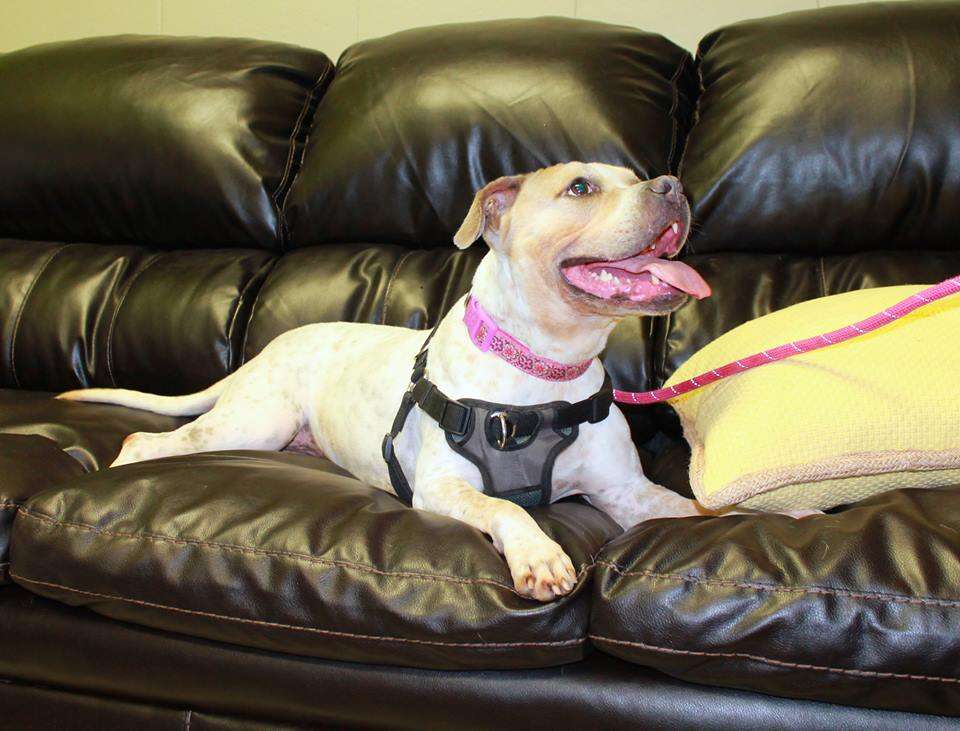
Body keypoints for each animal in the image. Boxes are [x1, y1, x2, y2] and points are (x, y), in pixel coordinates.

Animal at [58, 164, 720, 600]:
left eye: (636, 175)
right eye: (581, 187)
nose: (672, 186)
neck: (544, 368)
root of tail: (268, 348)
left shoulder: (626, 492)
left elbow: (689, 510)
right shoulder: (443, 488)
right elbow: (507, 508)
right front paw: (538, 553)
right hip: (256, 422)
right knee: (149, 440)